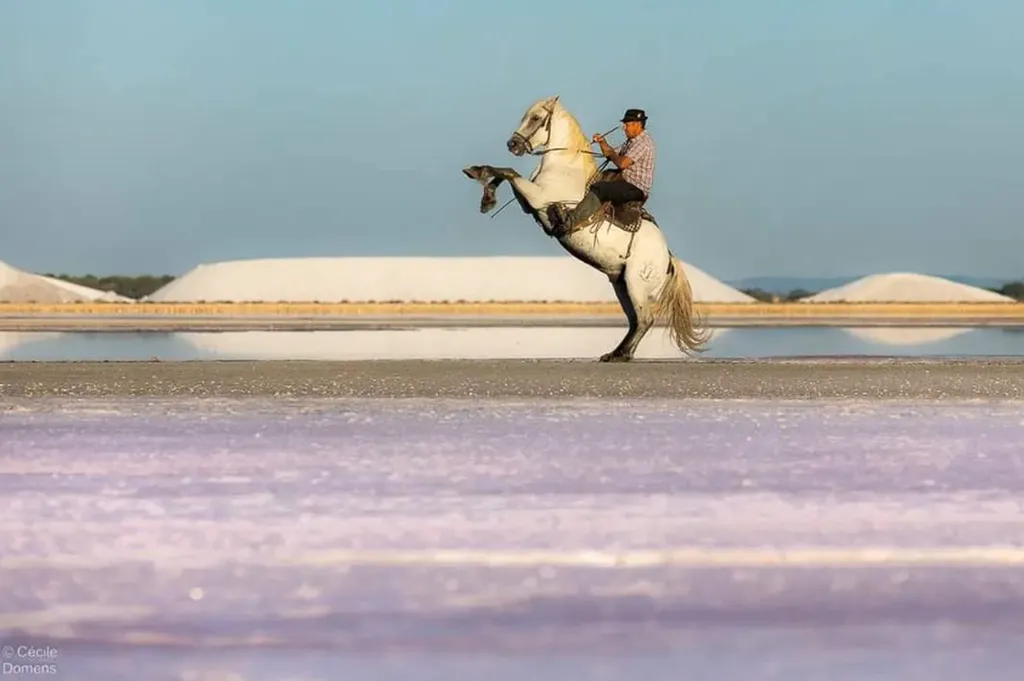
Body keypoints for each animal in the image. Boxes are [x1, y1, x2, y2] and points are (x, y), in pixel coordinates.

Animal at [462, 95, 711, 362]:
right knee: (635, 321)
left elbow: (509, 172)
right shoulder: (529, 203)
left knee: (645, 319)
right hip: (621, 285)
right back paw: (616, 353)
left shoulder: (538, 198)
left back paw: (621, 355)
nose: (513, 144)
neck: (563, 167)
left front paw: (477, 174)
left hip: (636, 285)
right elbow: (506, 174)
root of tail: (668, 258)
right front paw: (487, 199)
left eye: (536, 118)